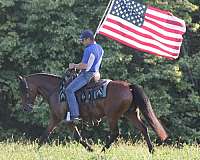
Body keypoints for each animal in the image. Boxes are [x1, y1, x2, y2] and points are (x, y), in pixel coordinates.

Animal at [17, 70, 167, 152]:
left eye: (25, 90)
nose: (26, 108)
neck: (56, 91)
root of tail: (128, 86)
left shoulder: (66, 120)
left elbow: (77, 137)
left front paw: (91, 149)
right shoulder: (55, 118)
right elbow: (44, 136)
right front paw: (34, 151)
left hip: (112, 116)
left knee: (115, 133)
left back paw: (101, 152)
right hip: (130, 114)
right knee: (143, 129)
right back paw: (152, 150)